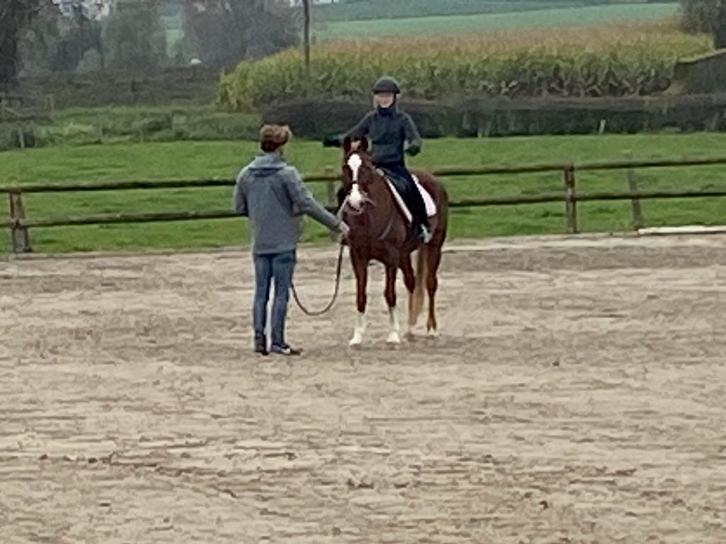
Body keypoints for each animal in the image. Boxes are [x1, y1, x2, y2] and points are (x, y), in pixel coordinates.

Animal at [337, 136, 449, 346]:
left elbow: (389, 294)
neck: (370, 218)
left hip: (434, 246)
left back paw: (432, 329)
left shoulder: (391, 258)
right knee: (411, 282)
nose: (356, 201)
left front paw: (393, 335)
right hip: (404, 255)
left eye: (366, 167)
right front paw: (357, 336)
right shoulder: (358, 257)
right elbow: (361, 295)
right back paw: (410, 329)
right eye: (345, 167)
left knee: (430, 283)